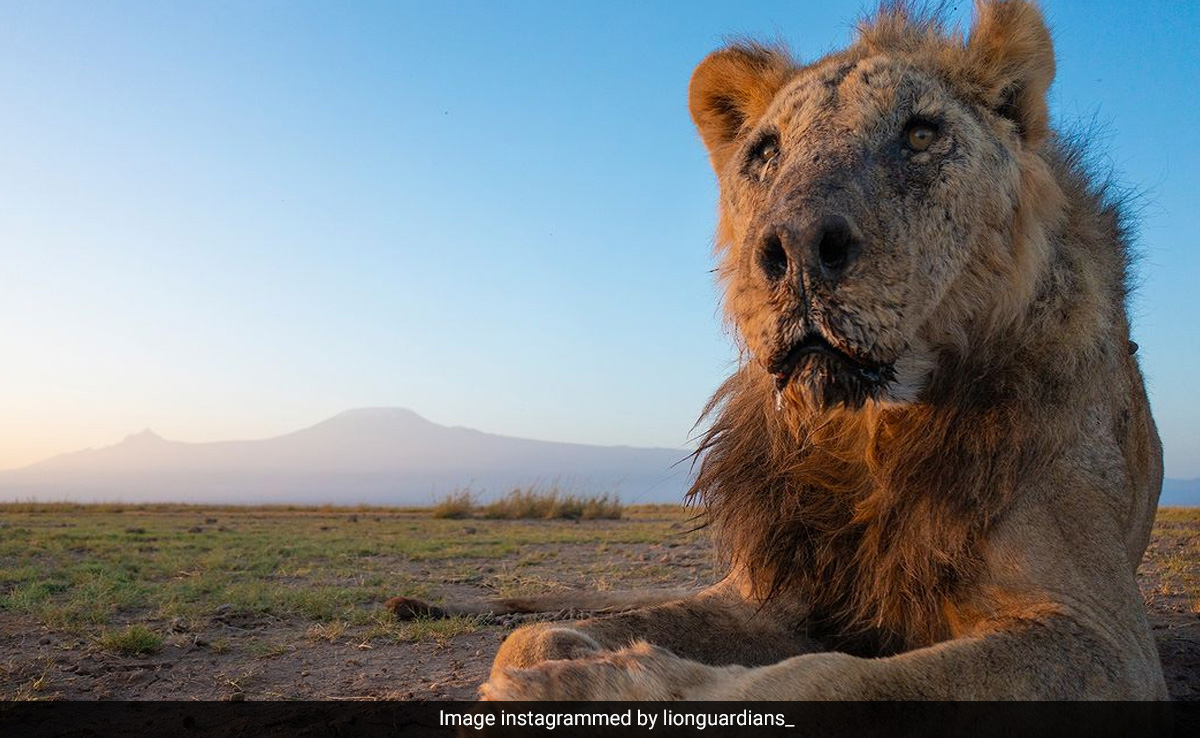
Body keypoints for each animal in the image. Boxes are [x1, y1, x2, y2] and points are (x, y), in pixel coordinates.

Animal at [392, 0, 1167, 700]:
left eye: (920, 135)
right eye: (765, 153)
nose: (795, 249)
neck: (866, 431)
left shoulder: (1101, 636)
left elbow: (835, 679)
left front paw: (605, 684)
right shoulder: (768, 594)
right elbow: (536, 637)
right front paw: (559, 660)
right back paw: (418, 600)